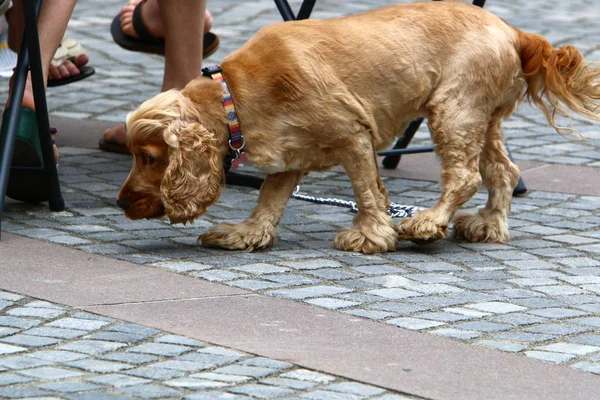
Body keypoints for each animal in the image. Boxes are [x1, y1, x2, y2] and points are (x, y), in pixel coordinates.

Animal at [117, 1, 600, 253]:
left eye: (149, 157)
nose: (120, 203)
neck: (233, 95)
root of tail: (512, 31)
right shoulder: (291, 154)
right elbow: (270, 198)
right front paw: (247, 233)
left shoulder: (352, 134)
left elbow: (366, 190)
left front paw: (370, 234)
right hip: (482, 118)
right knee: (502, 171)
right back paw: (487, 225)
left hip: (453, 111)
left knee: (464, 176)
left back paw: (426, 223)